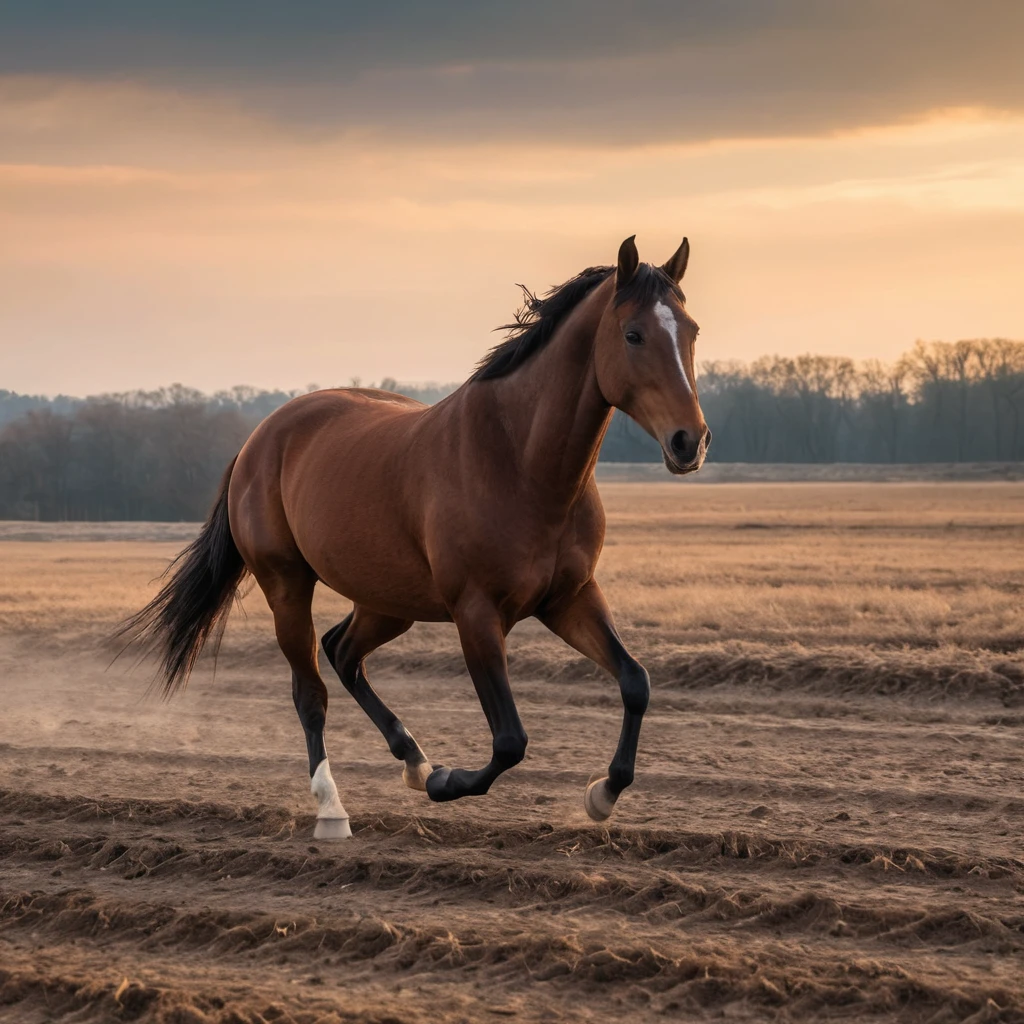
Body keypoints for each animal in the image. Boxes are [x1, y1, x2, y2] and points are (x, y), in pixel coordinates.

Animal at [116, 235, 710, 839]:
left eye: (691, 330)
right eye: (633, 334)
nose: (690, 441)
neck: (520, 463)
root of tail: (261, 437)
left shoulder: (570, 599)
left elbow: (635, 682)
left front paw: (602, 795)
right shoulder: (476, 613)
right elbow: (509, 740)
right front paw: (445, 782)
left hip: (387, 602)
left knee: (343, 651)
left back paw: (413, 759)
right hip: (287, 586)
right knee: (311, 692)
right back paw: (334, 808)